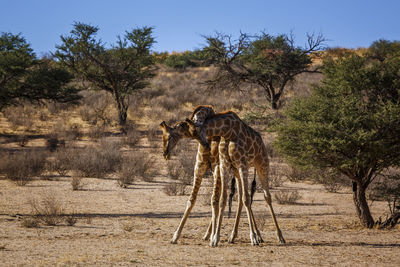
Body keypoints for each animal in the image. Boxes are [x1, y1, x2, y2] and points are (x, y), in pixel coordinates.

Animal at [184, 111, 284, 247]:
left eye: (196, 131)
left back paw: (279, 236)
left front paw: (253, 237)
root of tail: (261, 140)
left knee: (266, 196)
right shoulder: (225, 165)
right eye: (191, 131)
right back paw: (233, 236)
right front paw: (215, 238)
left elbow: (247, 199)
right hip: (237, 170)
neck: (227, 131)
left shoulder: (242, 164)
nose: (205, 146)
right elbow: (224, 199)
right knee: (241, 197)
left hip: (262, 164)